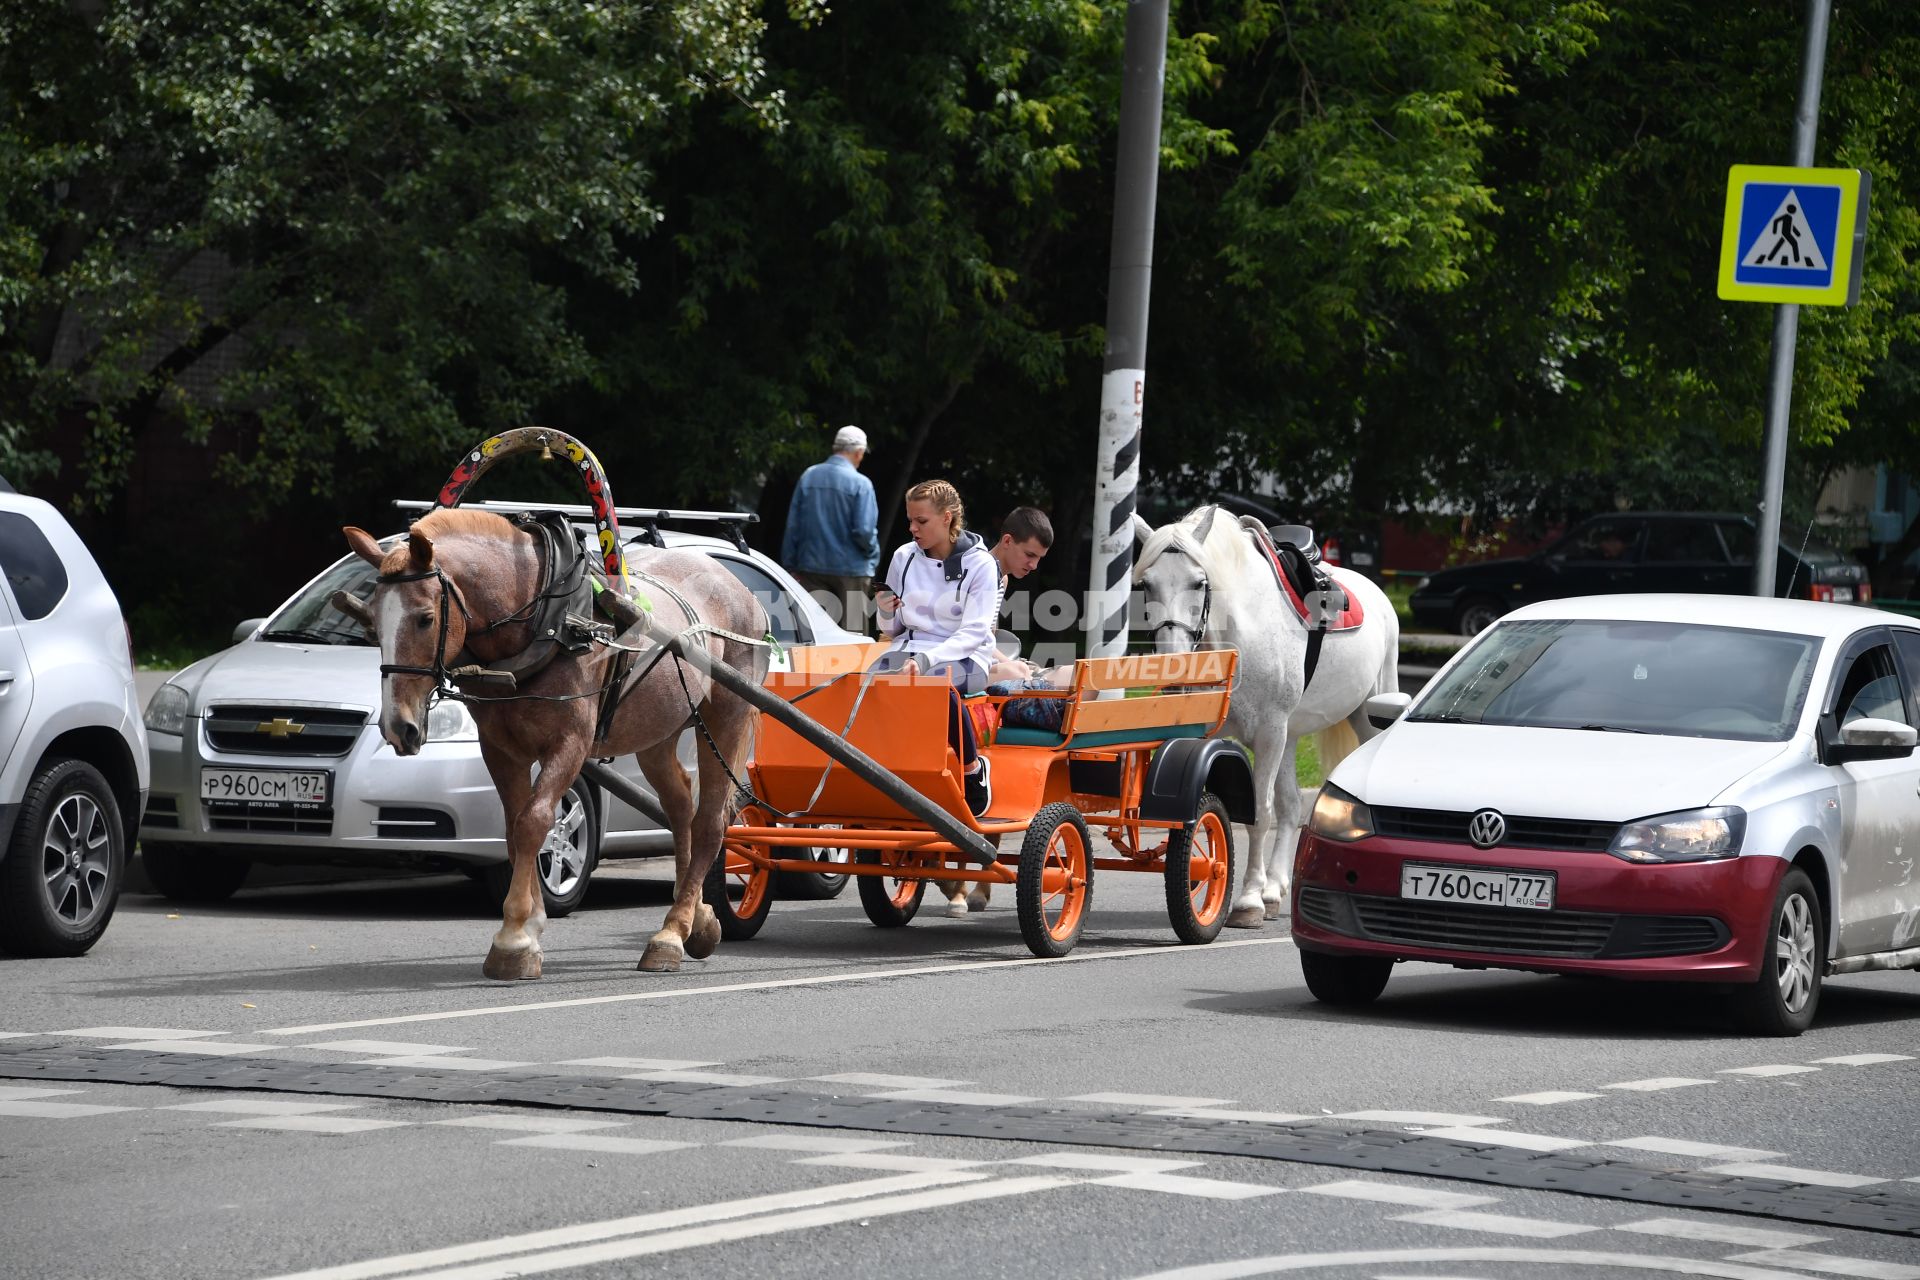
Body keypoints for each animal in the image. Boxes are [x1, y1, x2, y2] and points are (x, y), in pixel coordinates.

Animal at [341, 510, 768, 982]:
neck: (545, 619)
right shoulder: (500, 749)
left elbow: (535, 822)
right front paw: (530, 926)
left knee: (710, 822)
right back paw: (697, 918)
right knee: (680, 811)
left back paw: (672, 934)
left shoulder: (570, 744)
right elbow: (515, 830)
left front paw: (513, 938)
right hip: (657, 731)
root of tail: (740, 589)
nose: (399, 726)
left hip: (727, 717)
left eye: (425, 618)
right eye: (372, 622)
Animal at [1128, 506, 1405, 924]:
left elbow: (1260, 814)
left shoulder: (1269, 733)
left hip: (1360, 718)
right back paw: (1275, 888)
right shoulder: (1213, 735)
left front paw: (1247, 900)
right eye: (1146, 584)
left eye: (1199, 582)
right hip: (1290, 736)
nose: (1174, 664)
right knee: (1291, 806)